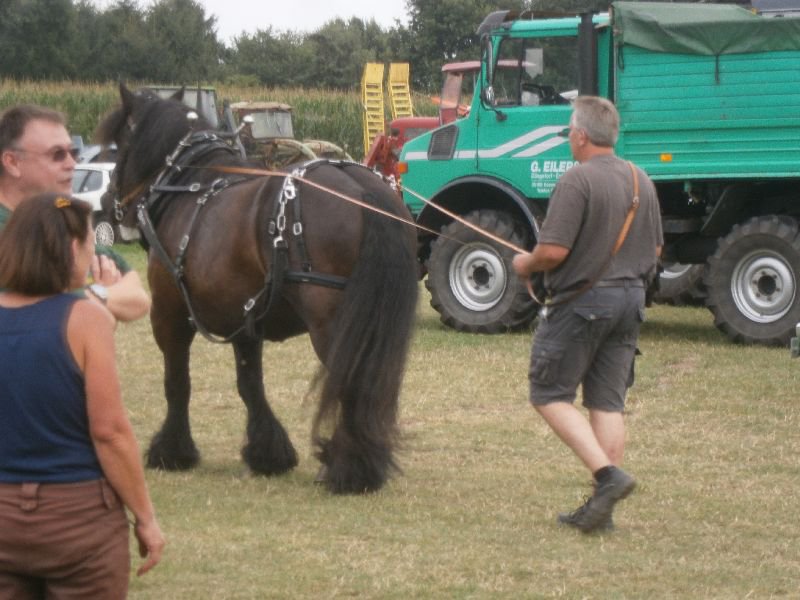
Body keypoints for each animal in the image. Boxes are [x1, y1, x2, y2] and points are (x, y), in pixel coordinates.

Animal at [95, 85, 418, 496]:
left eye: (116, 146)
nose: (106, 202)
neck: (189, 184)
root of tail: (363, 190)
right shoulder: (245, 319)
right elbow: (250, 384)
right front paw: (268, 453)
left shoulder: (168, 314)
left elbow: (177, 382)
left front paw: (172, 451)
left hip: (333, 324)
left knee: (351, 382)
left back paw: (349, 468)